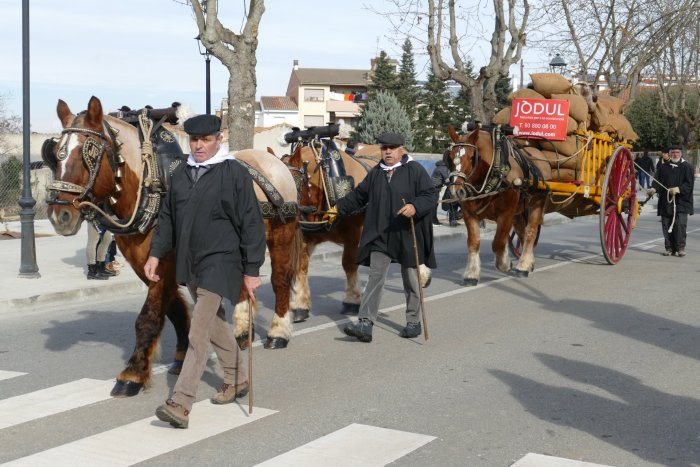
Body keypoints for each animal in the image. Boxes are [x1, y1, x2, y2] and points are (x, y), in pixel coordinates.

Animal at [42, 96, 302, 398]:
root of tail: (274, 161)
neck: (150, 183)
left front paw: (132, 373)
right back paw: (240, 331)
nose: (59, 216)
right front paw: (180, 356)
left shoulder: (164, 262)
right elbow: (174, 308)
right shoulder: (146, 265)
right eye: (55, 153)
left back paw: (278, 332)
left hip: (282, 234)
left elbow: (149, 316)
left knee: (280, 279)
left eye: (89, 153)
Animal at [446, 122, 548, 288]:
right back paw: (528, 262)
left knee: (530, 232)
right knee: (521, 232)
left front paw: (504, 264)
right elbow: (473, 243)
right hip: (519, 211)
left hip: (537, 202)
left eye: (472, 157)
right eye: (449, 157)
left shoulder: (506, 213)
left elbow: (498, 242)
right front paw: (471, 274)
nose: (456, 191)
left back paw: (523, 265)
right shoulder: (469, 214)